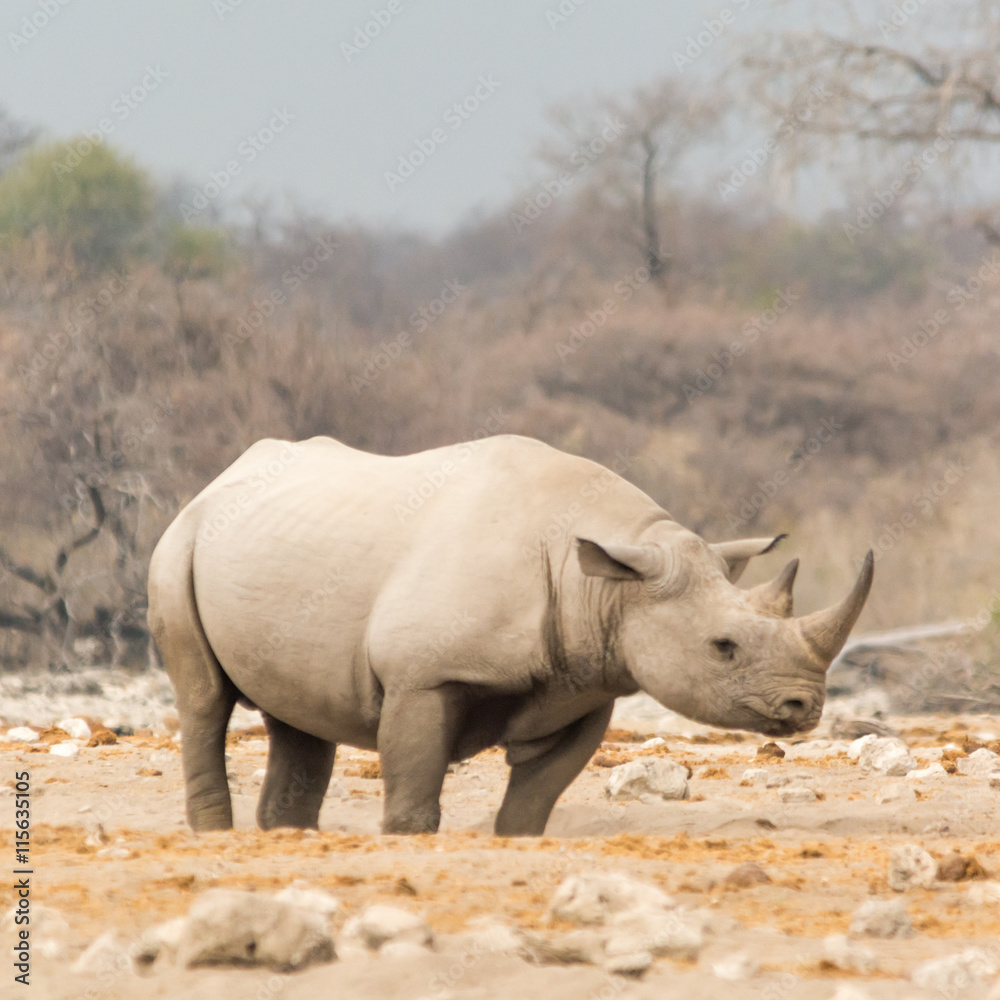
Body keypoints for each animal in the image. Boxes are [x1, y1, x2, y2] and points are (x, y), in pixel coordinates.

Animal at [147, 434, 873, 836]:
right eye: (724, 647)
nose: (805, 707)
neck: (608, 581)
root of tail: (217, 481)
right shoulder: (423, 676)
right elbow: (413, 798)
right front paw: (407, 843)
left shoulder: (585, 686)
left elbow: (533, 802)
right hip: (179, 542)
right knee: (204, 698)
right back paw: (217, 837)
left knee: (299, 717)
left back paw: (288, 837)